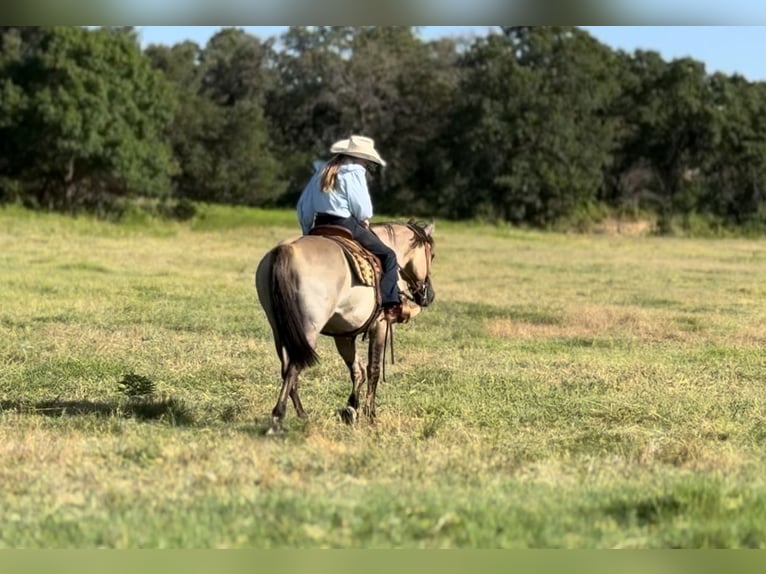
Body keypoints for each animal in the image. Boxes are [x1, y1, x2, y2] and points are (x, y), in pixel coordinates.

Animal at [256, 219, 438, 432]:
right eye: (432, 255)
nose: (429, 295)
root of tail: (287, 250)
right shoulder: (380, 325)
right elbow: (373, 369)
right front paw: (370, 415)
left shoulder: (342, 333)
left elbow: (357, 370)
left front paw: (351, 409)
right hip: (308, 329)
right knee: (294, 366)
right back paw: (278, 418)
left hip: (280, 328)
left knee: (287, 367)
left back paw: (301, 414)